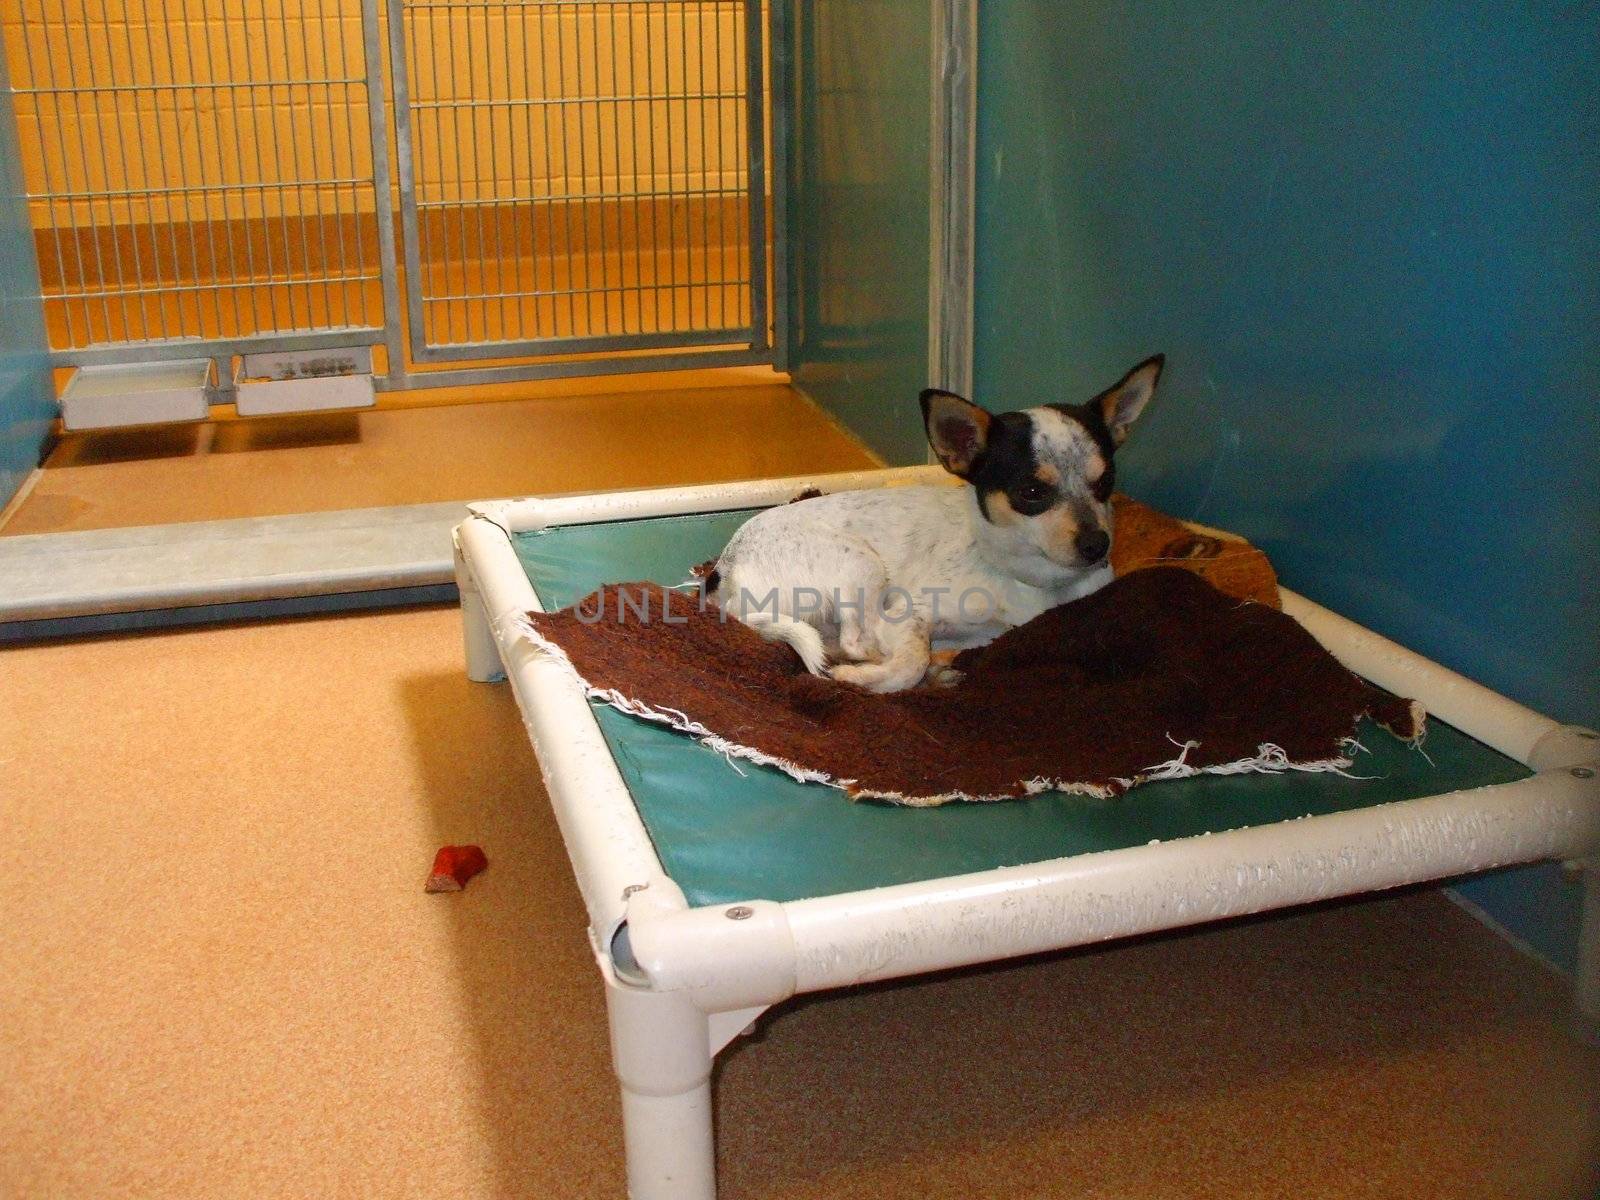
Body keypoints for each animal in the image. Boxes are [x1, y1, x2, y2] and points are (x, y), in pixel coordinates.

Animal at [707, 355, 1158, 694]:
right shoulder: (906, 615)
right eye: (1031, 491)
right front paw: (869, 677)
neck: (1029, 579)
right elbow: (908, 663)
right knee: (855, 640)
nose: (1098, 544)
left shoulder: (991, 633)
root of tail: (725, 570)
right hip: (861, 564)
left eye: (1106, 482)